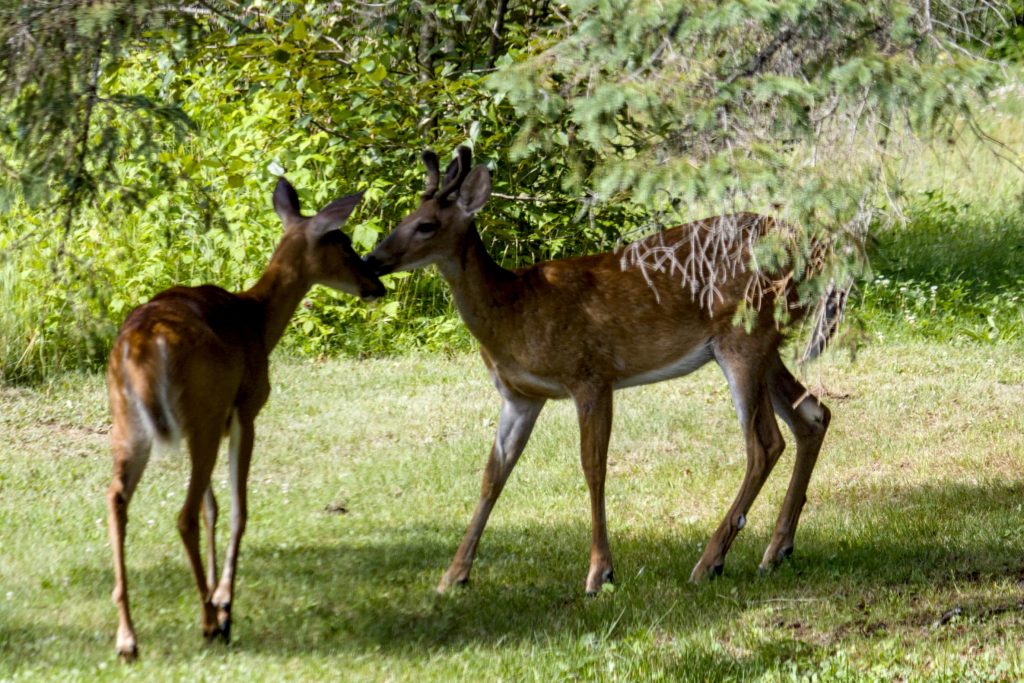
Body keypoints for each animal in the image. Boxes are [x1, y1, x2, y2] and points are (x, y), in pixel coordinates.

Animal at [105, 178, 385, 661]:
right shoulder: (245, 408)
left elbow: (213, 509)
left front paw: (220, 599)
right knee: (182, 514)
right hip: (200, 412)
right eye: (345, 245)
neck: (256, 319)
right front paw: (224, 605)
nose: (377, 285)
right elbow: (237, 509)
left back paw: (128, 638)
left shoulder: (216, 420)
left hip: (130, 423)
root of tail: (140, 347)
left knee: (118, 499)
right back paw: (204, 622)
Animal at [364, 146, 835, 595]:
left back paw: (710, 562)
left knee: (765, 443)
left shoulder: (590, 375)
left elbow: (593, 468)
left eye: (426, 225)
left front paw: (599, 574)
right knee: (813, 415)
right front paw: (454, 576)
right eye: (404, 217)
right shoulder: (520, 396)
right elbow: (492, 476)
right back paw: (776, 551)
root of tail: (810, 251)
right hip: (764, 346)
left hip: (743, 339)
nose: (371, 258)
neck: (513, 311)